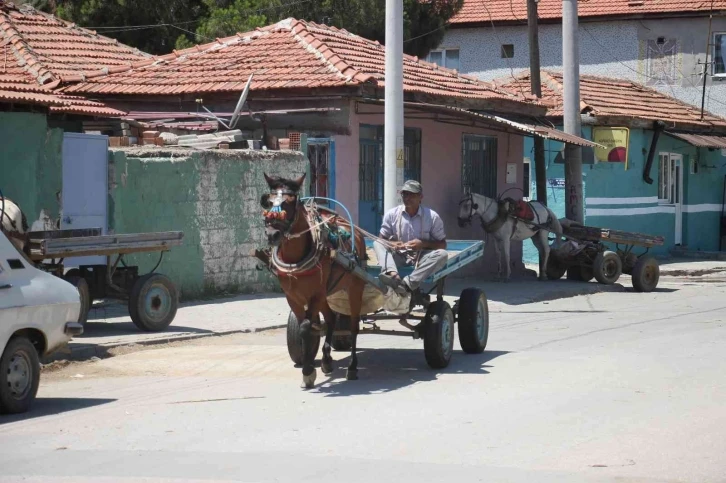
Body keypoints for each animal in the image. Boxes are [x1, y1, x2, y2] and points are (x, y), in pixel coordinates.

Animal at [258, 174, 366, 390]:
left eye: (290, 203)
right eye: (268, 201)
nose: (272, 234)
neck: (294, 259)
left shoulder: (315, 295)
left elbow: (307, 327)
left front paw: (308, 372)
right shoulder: (293, 297)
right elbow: (304, 328)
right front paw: (310, 365)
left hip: (354, 288)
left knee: (353, 326)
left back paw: (352, 367)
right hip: (327, 293)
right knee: (331, 318)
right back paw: (326, 360)